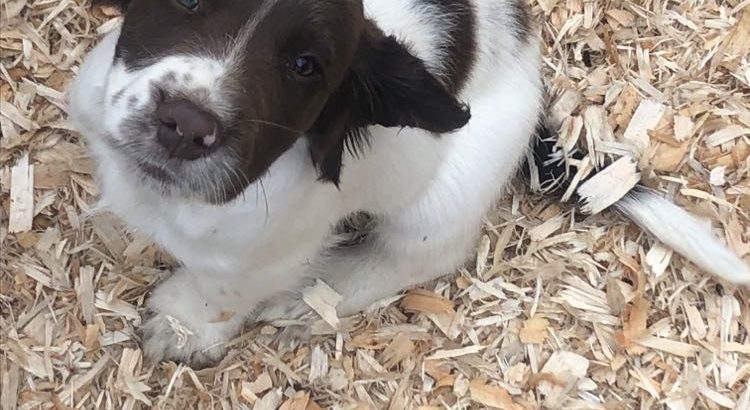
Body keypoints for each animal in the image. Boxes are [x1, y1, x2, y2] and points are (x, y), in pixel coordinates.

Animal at [69, 0, 748, 366]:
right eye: (185, 3)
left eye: (305, 66)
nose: (186, 126)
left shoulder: (265, 248)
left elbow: (221, 290)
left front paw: (181, 327)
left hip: (441, 200)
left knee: (419, 254)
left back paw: (312, 297)